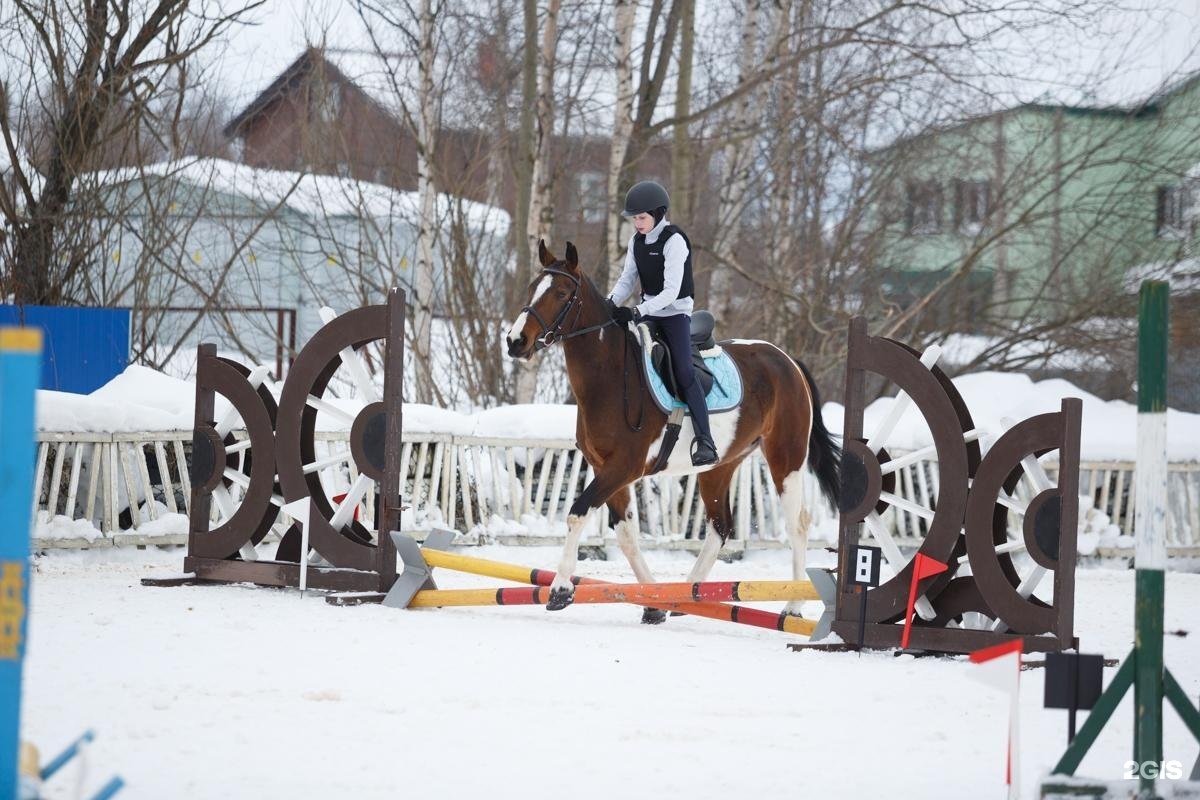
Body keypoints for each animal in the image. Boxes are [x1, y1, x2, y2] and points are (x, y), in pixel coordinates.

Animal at [501, 241, 840, 623]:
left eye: (560, 293)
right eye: (533, 288)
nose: (515, 341)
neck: (611, 377)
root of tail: (787, 361)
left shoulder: (623, 468)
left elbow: (577, 513)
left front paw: (560, 589)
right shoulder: (608, 470)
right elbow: (626, 536)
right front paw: (653, 601)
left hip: (786, 457)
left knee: (797, 523)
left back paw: (792, 606)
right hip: (719, 466)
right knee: (720, 526)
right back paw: (686, 594)